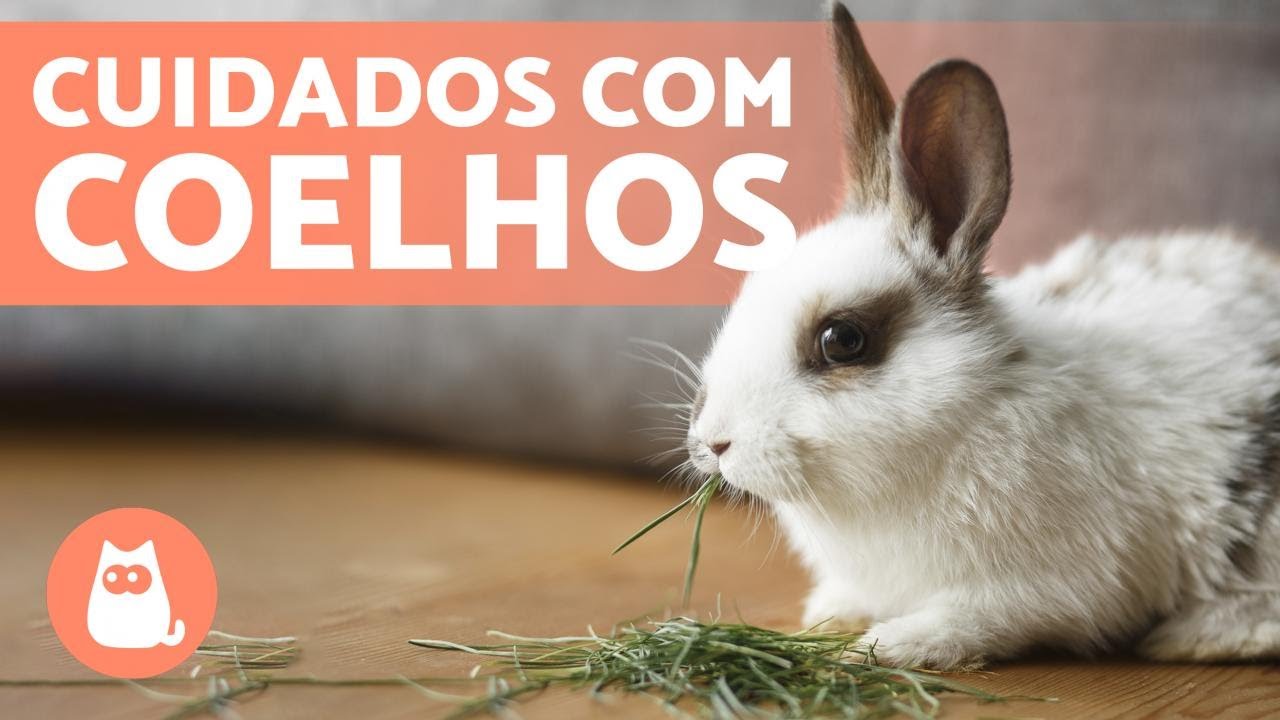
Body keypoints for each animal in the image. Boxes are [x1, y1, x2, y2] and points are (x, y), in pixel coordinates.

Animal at [684, 2, 1280, 670]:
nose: (713, 441)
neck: (966, 410)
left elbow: (975, 618)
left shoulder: (1048, 588)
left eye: (842, 340)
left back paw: (1196, 634)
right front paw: (832, 613)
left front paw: (892, 645)